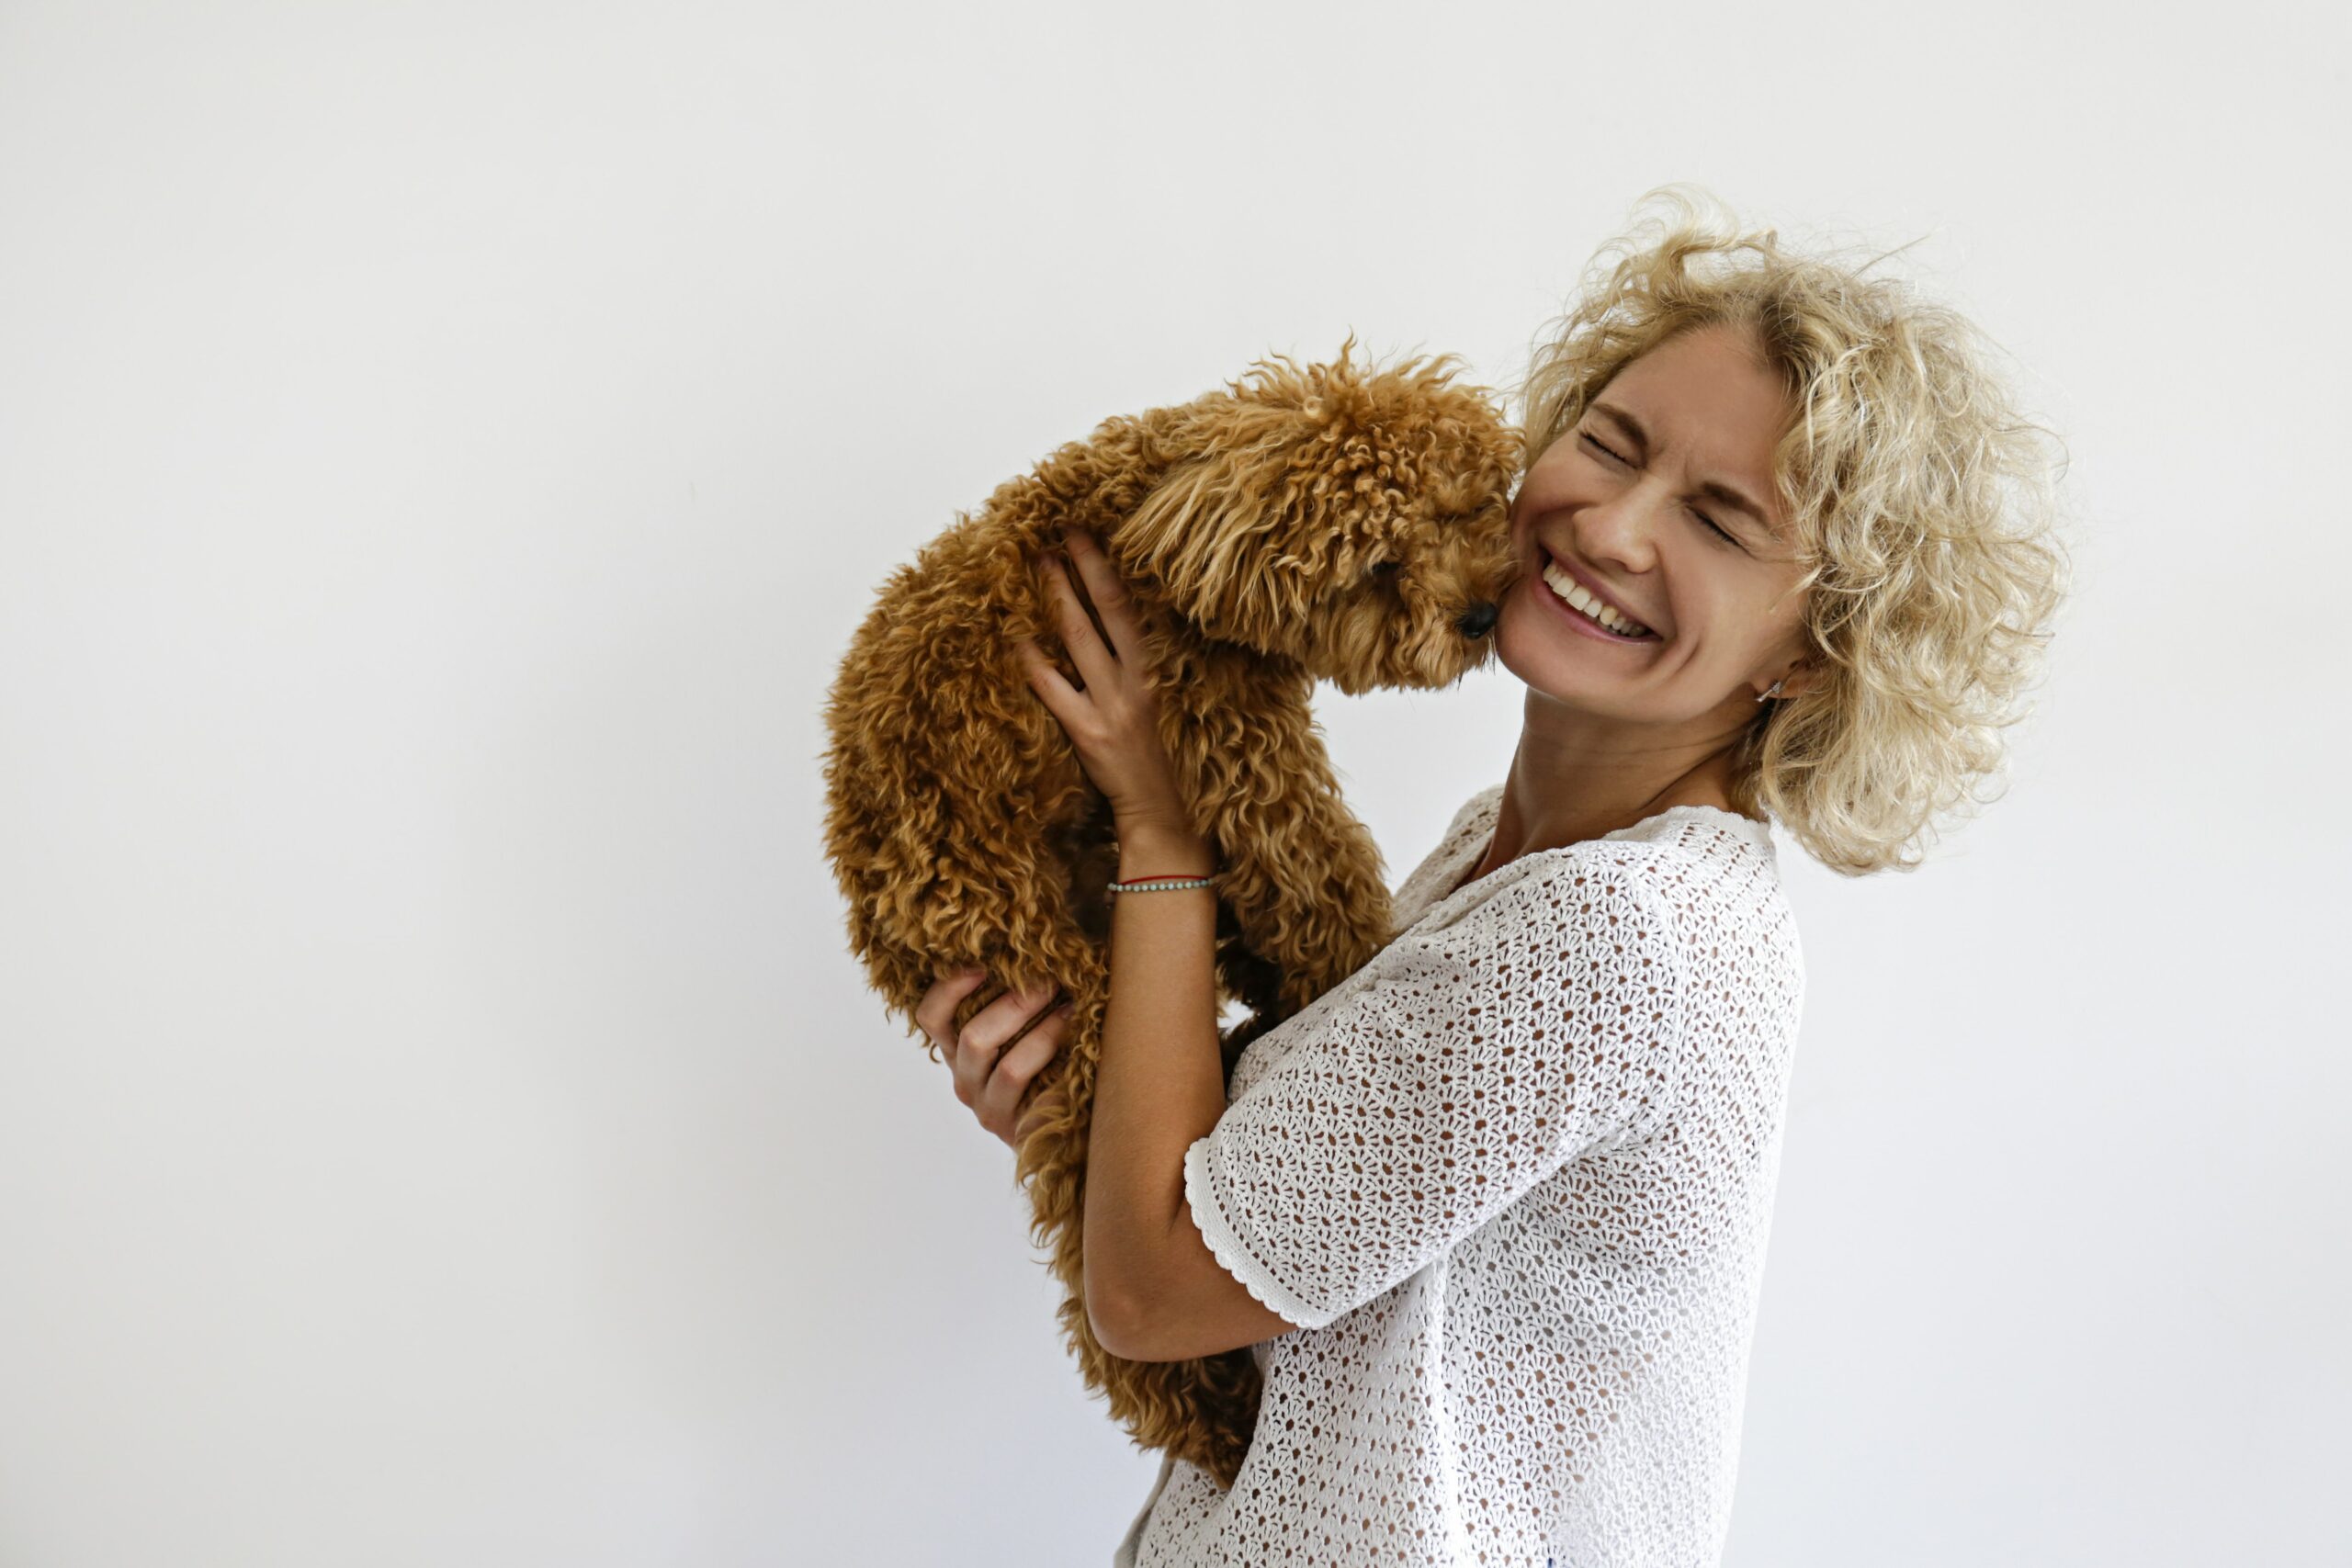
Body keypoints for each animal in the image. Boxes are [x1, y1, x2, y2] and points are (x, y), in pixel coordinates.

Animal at [823, 341, 1523, 1485]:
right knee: (1091, 1259)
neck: (1169, 505)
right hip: (1054, 985)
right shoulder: (1226, 724)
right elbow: (1312, 866)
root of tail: (861, 876)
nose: (1476, 618)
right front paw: (1355, 962)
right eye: (1377, 567)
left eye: (1464, 511)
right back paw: (1214, 1421)